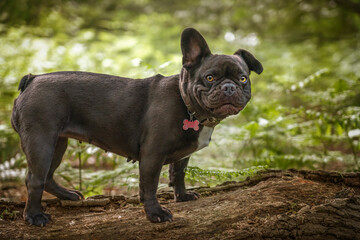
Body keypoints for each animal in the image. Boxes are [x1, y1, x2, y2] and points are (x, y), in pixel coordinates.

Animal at [11, 27, 262, 226]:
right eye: (210, 78)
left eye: (243, 78)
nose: (229, 87)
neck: (187, 105)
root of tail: (32, 79)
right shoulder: (152, 155)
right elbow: (149, 186)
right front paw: (155, 213)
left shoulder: (182, 156)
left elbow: (178, 173)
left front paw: (182, 196)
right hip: (42, 141)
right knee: (35, 178)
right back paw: (34, 216)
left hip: (57, 143)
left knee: (47, 175)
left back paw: (67, 195)